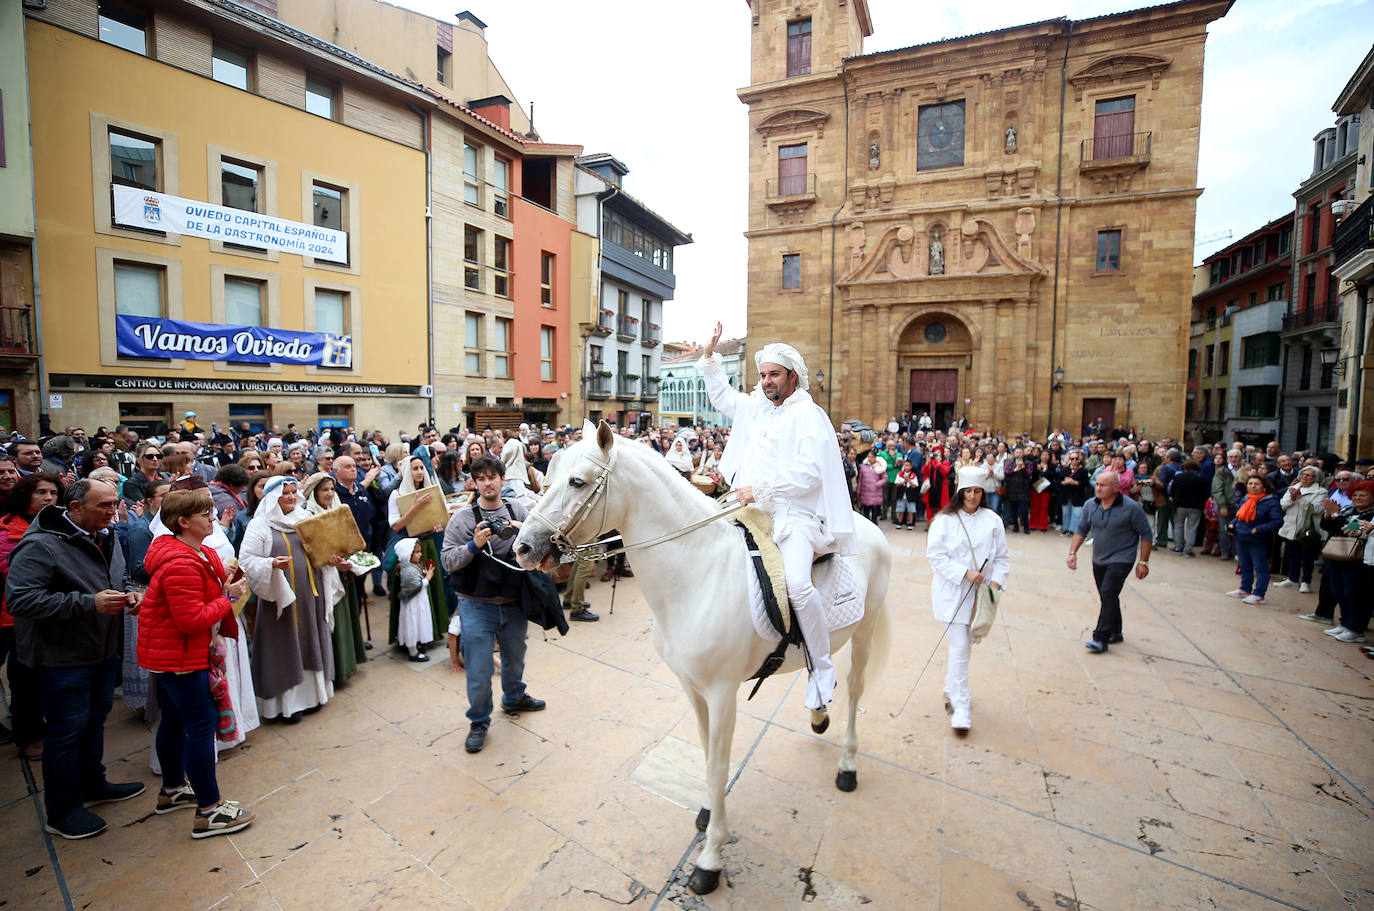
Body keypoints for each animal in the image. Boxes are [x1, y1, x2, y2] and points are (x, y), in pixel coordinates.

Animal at [516, 423, 890, 895]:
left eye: (577, 482)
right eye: (545, 477)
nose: (522, 547)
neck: (697, 573)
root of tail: (866, 526)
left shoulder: (722, 693)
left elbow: (718, 764)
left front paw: (710, 857)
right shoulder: (692, 688)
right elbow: (707, 758)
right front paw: (709, 812)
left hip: (865, 630)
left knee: (856, 689)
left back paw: (847, 764)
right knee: (817, 663)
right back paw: (819, 710)